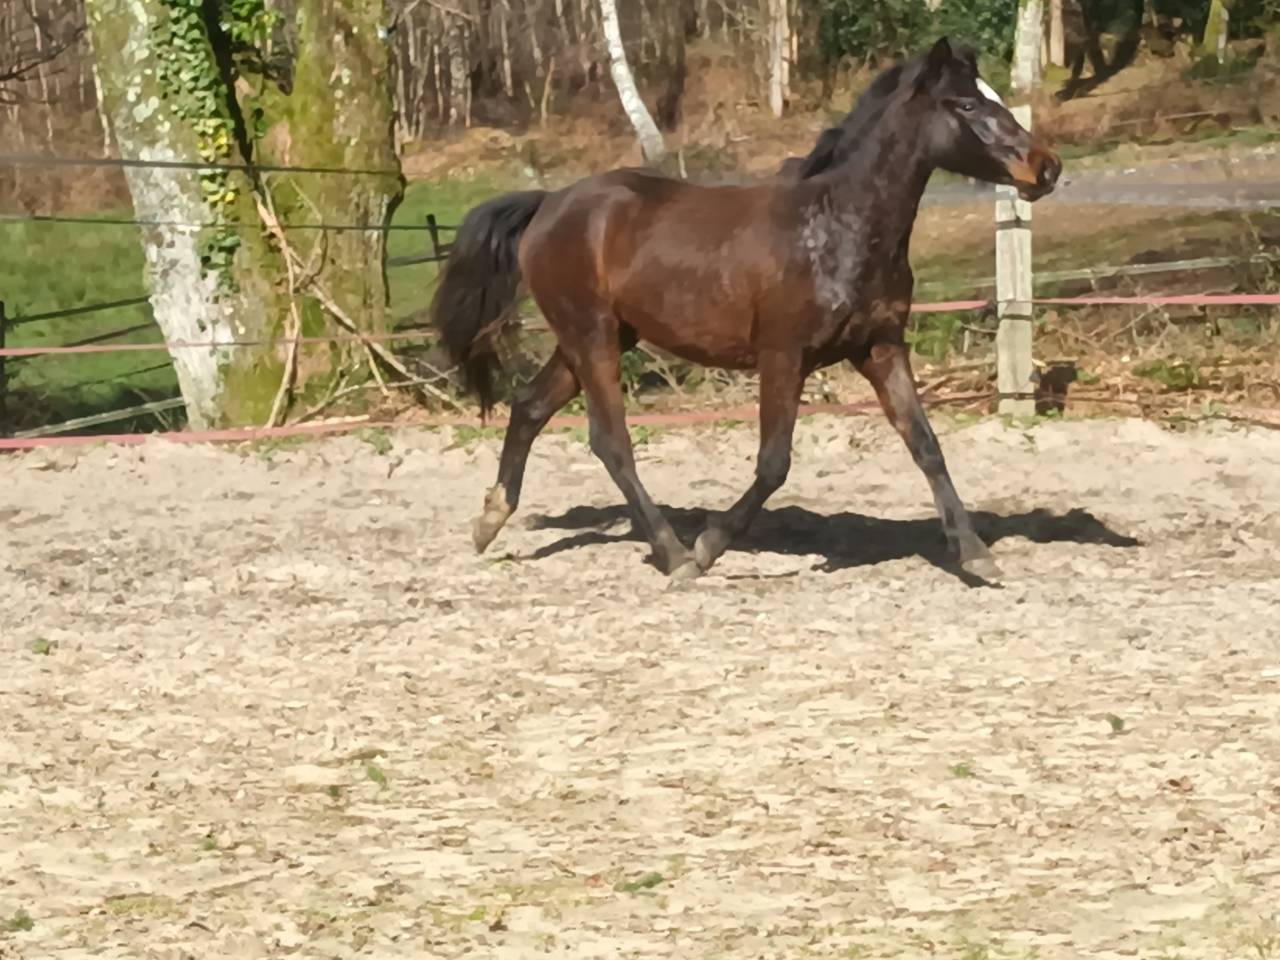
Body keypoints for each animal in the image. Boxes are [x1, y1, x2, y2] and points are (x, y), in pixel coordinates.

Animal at [430, 36, 1062, 582]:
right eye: (966, 103)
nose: (1046, 167)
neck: (838, 228)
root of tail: (548, 204)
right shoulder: (783, 356)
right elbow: (773, 463)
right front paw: (709, 546)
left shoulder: (879, 348)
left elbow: (927, 446)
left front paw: (976, 554)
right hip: (592, 336)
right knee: (610, 441)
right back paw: (673, 553)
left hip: (595, 338)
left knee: (529, 407)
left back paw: (489, 521)